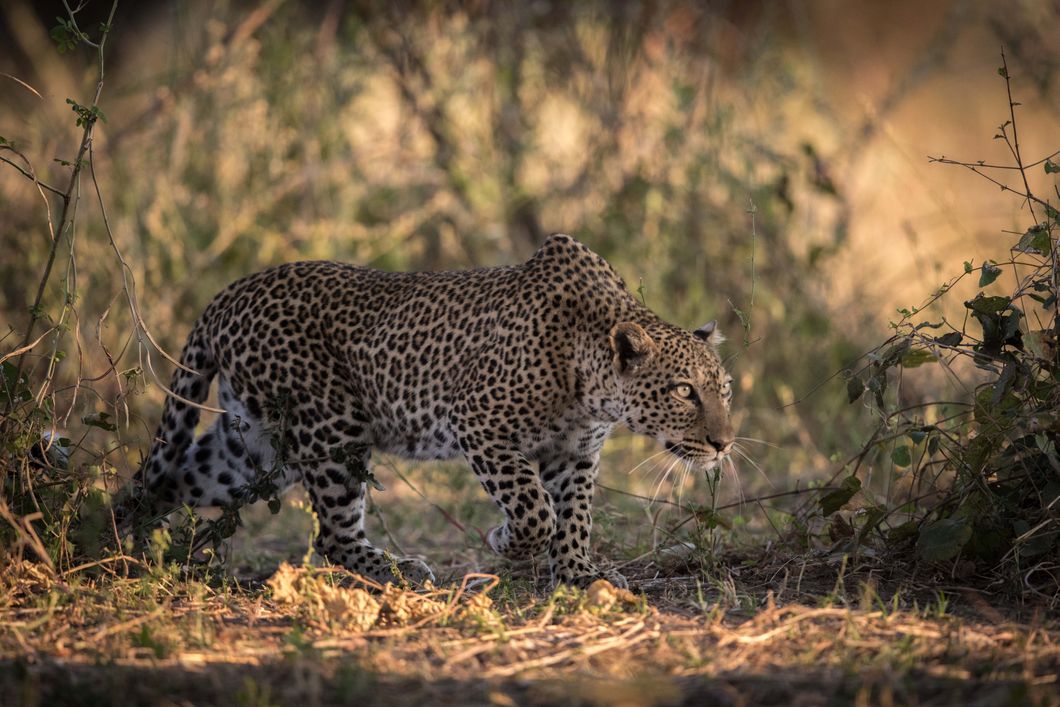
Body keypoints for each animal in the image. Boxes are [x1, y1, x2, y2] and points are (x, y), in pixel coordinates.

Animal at [132, 233, 736, 588]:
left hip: (252, 447)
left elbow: (575, 515)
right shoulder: (480, 425)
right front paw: (505, 542)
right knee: (332, 535)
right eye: (684, 391)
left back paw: (124, 543)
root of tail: (226, 295)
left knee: (162, 481)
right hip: (331, 428)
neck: (590, 379)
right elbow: (535, 510)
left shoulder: (576, 452)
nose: (724, 443)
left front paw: (578, 573)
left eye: (724, 389)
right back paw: (399, 571)